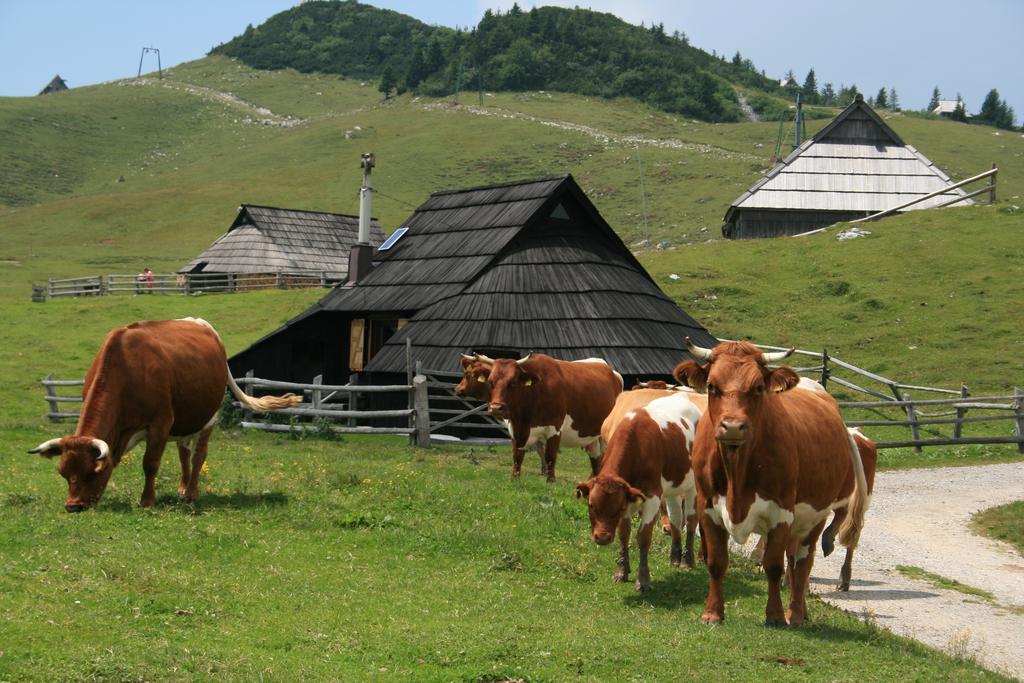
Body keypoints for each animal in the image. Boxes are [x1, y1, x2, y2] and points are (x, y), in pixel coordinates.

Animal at [27, 317, 299, 509]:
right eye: (64, 473)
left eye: (93, 472)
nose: (73, 506)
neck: (126, 369)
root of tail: (200, 323)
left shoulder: (160, 423)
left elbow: (150, 464)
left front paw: (147, 501)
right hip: (185, 421)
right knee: (184, 452)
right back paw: (182, 487)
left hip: (208, 417)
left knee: (199, 455)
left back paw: (191, 492)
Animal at [458, 352, 622, 481]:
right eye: (491, 382)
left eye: (513, 382)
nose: (496, 408)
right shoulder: (516, 429)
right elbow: (517, 456)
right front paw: (515, 478)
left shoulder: (554, 429)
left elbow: (550, 456)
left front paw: (550, 480)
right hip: (592, 435)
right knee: (595, 458)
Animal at [573, 389, 708, 593]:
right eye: (590, 505)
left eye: (618, 508)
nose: (602, 537)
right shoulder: (629, 495)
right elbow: (624, 533)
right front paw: (622, 571)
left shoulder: (652, 496)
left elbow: (643, 537)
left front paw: (643, 580)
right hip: (673, 487)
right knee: (676, 517)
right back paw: (675, 559)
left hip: (693, 485)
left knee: (692, 519)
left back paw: (687, 560)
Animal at [675, 339, 868, 626]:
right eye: (711, 386)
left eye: (758, 387)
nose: (733, 427)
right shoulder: (707, 507)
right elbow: (716, 562)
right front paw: (712, 613)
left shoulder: (781, 513)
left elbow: (773, 566)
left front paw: (775, 615)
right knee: (794, 559)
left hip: (814, 516)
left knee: (802, 562)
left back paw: (795, 613)